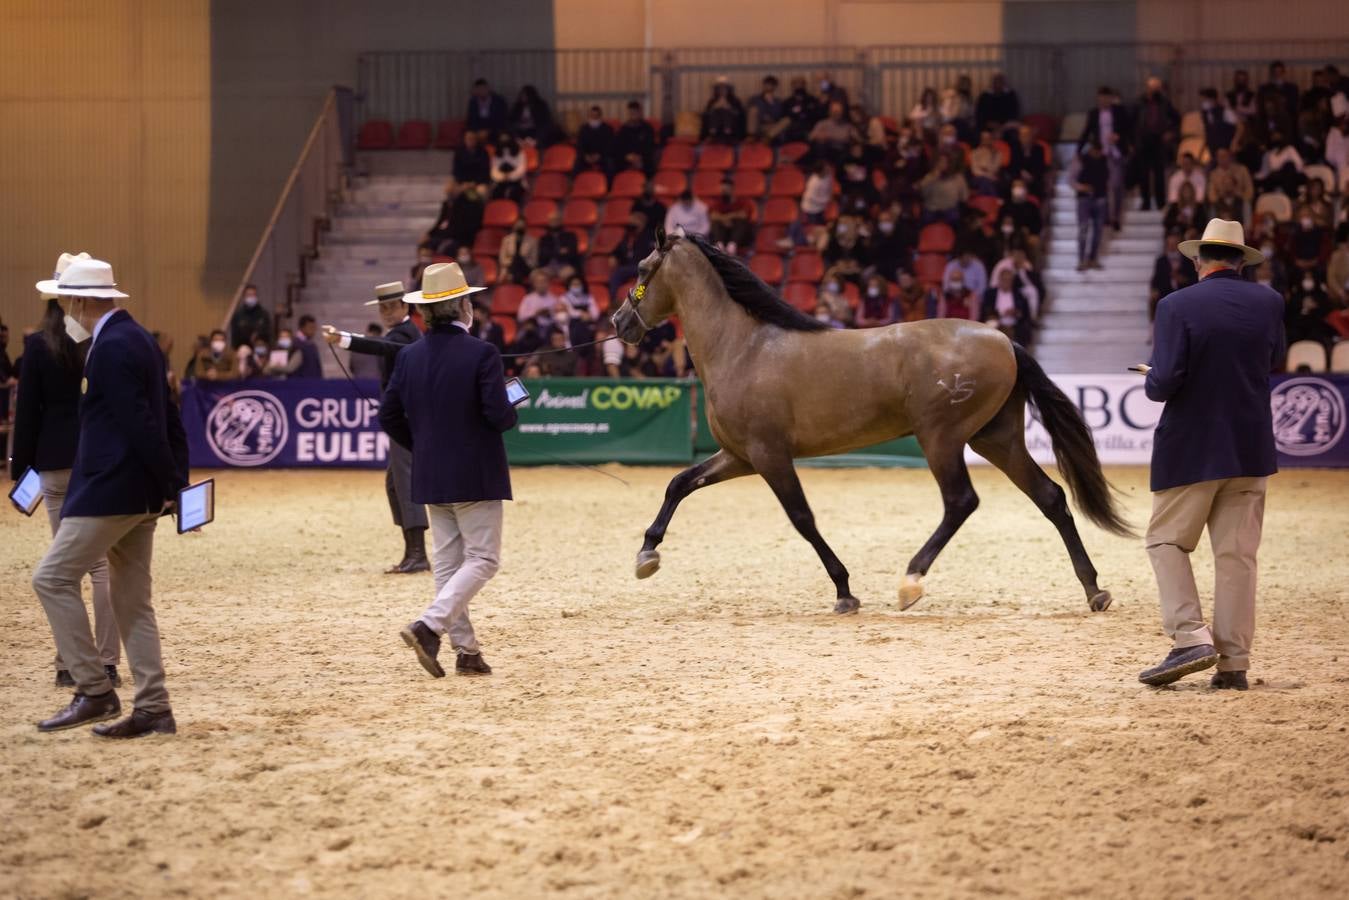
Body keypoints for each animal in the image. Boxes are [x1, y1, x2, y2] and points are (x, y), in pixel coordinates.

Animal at [609, 229, 1127, 615]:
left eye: (642, 270)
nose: (619, 323)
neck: (744, 347)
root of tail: (1005, 340)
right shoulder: (739, 456)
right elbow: (679, 482)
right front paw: (646, 555)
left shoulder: (769, 455)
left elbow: (802, 518)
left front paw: (844, 592)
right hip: (996, 439)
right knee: (1051, 498)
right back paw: (1094, 590)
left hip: (941, 439)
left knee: (961, 501)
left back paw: (911, 582)